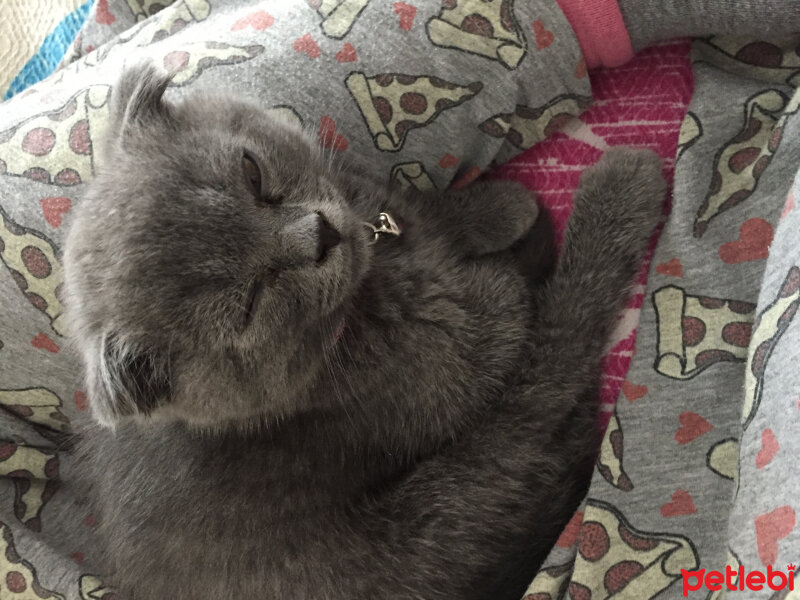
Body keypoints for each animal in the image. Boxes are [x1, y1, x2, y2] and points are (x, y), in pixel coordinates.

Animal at [62, 65, 664, 600]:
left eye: (252, 174)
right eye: (250, 303)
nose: (318, 234)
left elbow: (415, 211)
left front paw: (493, 208)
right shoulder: (453, 368)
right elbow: (505, 317)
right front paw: (498, 252)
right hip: (458, 496)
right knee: (556, 361)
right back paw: (619, 191)